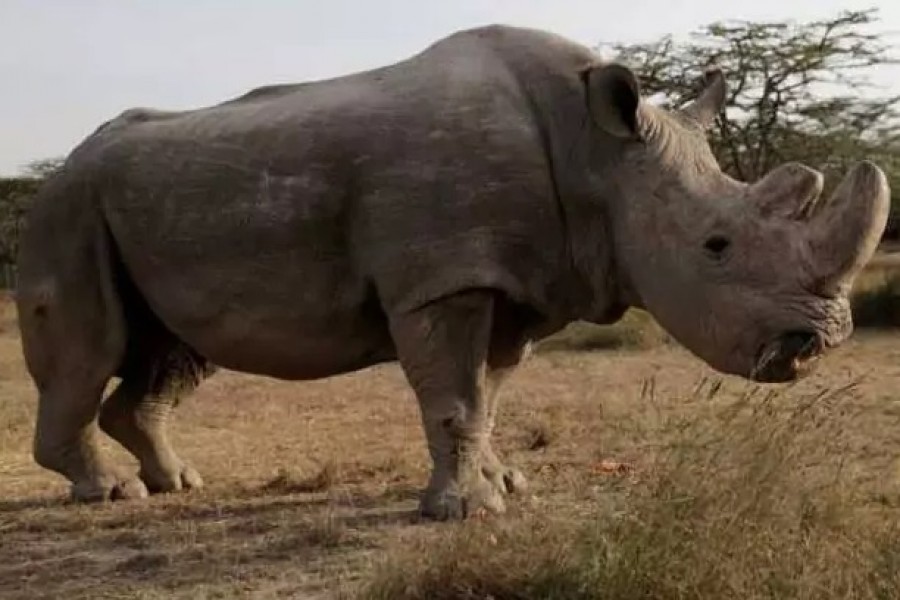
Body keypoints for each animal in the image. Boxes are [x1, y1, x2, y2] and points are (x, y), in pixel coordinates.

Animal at [15, 24, 889, 520]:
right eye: (716, 246)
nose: (815, 343)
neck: (597, 156)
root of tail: (63, 164)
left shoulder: (515, 284)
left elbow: (485, 399)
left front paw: (508, 488)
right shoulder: (443, 279)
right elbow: (454, 398)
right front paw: (464, 514)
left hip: (140, 207)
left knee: (171, 354)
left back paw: (178, 485)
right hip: (66, 209)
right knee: (91, 351)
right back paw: (111, 495)